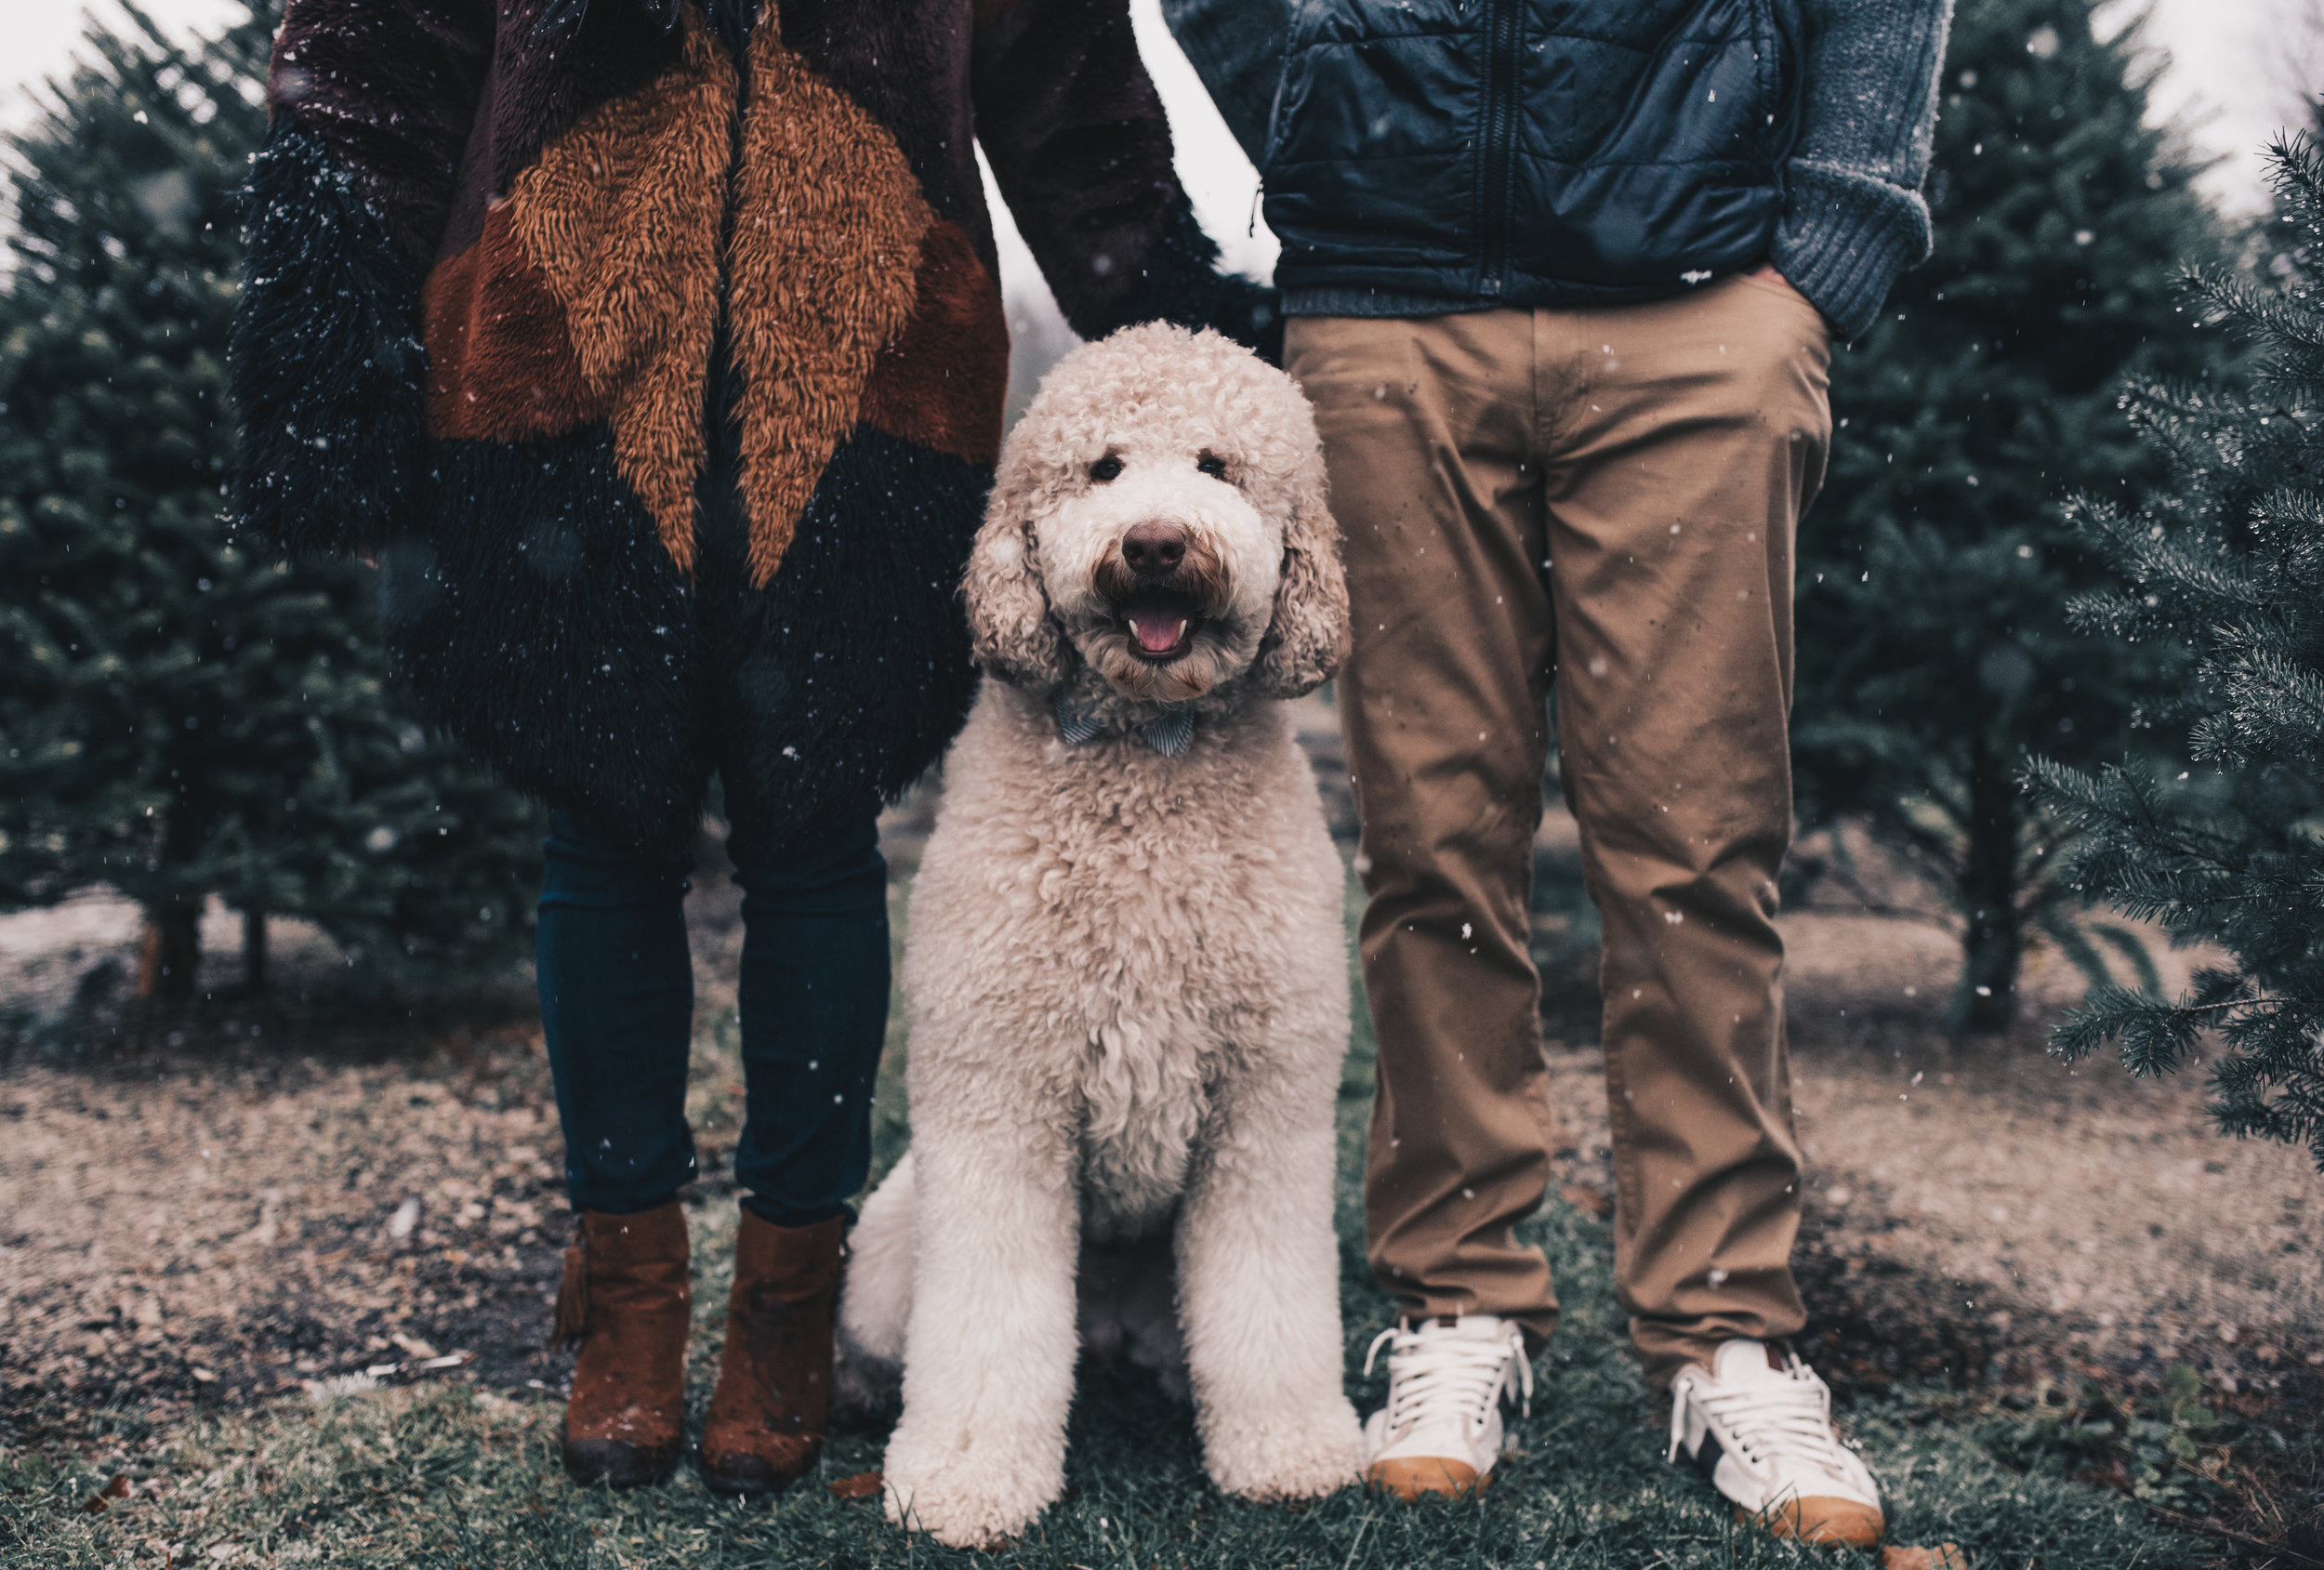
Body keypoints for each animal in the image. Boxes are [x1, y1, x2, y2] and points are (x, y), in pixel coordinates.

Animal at [841, 318, 1357, 1542]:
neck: (1143, 758)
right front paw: (966, 1480)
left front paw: (1290, 1451)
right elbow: (985, 1316)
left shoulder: (1266, 1111)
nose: (1157, 543)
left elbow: (1270, 1298)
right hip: (888, 1239)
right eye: (1103, 468)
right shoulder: (997, 1106)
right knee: (894, 1334)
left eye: (1218, 466)